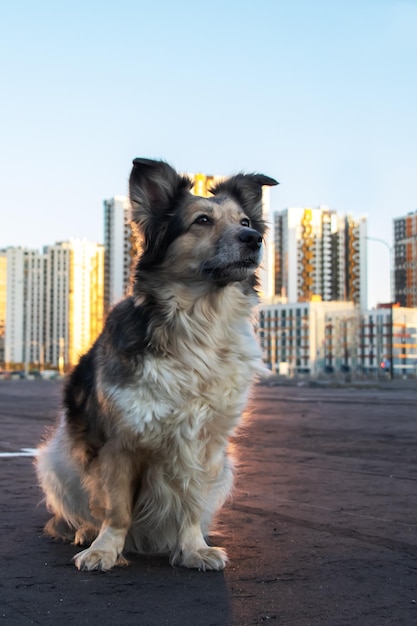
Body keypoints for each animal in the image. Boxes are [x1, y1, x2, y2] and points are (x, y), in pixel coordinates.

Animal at [35, 157, 276, 572]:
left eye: (245, 221)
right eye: (202, 221)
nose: (253, 239)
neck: (199, 323)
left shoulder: (204, 443)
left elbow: (191, 503)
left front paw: (193, 549)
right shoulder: (120, 440)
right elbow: (116, 509)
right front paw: (104, 549)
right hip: (57, 460)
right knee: (79, 511)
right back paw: (84, 532)